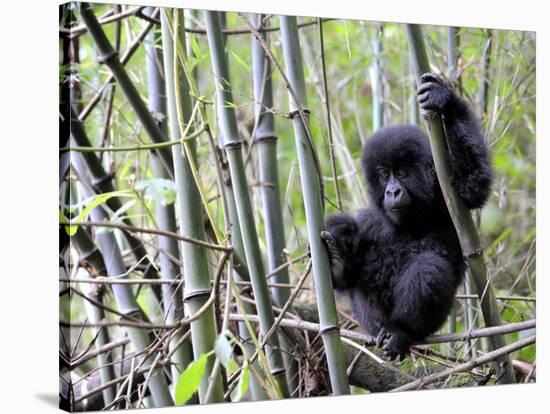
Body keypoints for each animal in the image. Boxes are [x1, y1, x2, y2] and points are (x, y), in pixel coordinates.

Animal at [322, 73, 494, 360]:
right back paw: (338, 262)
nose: (392, 191)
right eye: (383, 175)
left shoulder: (450, 200)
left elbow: (473, 181)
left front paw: (444, 100)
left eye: (402, 172)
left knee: (428, 268)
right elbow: (349, 272)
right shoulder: (370, 219)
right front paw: (339, 256)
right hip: (373, 324)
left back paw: (402, 332)